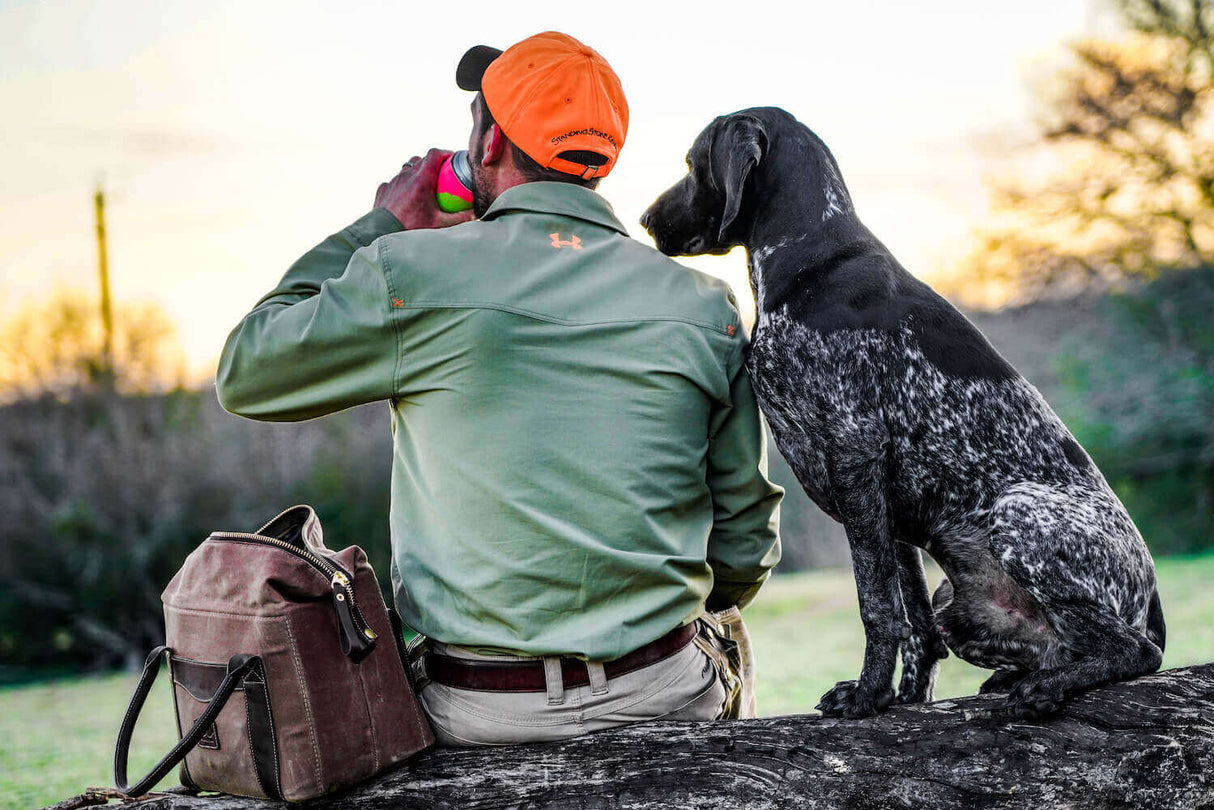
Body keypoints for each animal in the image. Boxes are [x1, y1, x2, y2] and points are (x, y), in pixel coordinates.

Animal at [645, 109, 1165, 723]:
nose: (646, 220)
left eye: (691, 164)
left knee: (1137, 651)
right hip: (958, 602)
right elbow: (914, 624)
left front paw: (868, 695)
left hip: (1018, 515)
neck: (811, 257)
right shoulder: (888, 509)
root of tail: (1152, 602)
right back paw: (1020, 677)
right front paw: (904, 700)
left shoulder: (854, 451)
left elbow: (877, 608)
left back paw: (1048, 687)